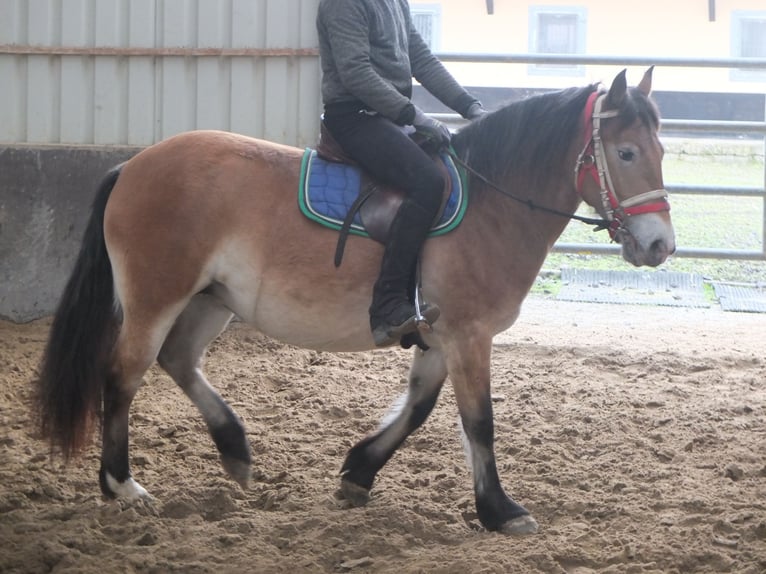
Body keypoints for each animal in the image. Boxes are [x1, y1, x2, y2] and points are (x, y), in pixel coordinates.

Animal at [33, 68, 676, 540]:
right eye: (624, 153)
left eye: (660, 149)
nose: (659, 246)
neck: (492, 203)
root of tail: (133, 165)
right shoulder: (469, 335)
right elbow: (479, 422)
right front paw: (500, 510)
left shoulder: (440, 335)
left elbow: (418, 407)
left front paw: (358, 472)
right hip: (157, 296)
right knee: (124, 374)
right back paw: (122, 485)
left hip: (210, 299)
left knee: (179, 360)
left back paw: (234, 449)